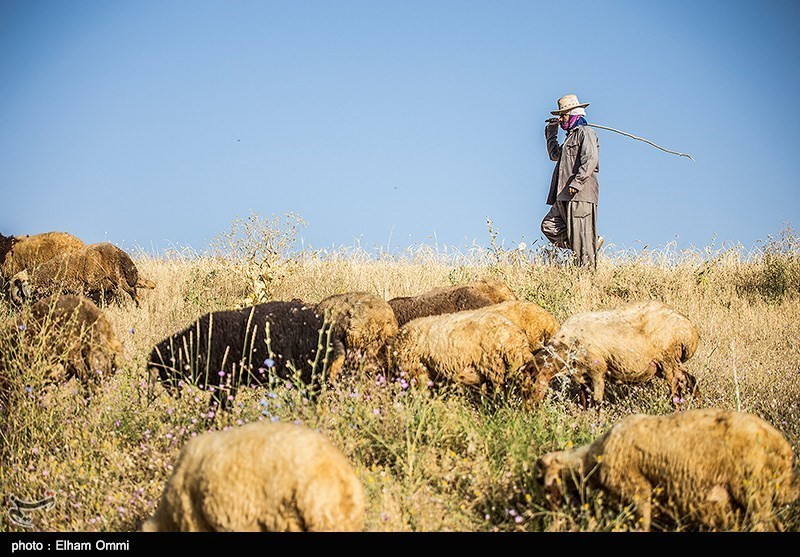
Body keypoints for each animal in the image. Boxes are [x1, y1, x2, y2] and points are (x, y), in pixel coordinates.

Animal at [14, 241, 156, 306]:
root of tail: (120, 252)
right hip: (124, 278)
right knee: (139, 287)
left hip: (119, 277)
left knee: (133, 292)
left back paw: (139, 307)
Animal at [520, 300, 696, 408]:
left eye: (529, 386)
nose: (526, 412)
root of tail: (688, 329)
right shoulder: (582, 376)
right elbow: (584, 402)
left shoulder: (598, 371)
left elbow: (597, 402)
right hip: (669, 363)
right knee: (690, 379)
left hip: (668, 361)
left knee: (675, 391)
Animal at [536, 408, 800, 528]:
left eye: (543, 483)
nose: (551, 520)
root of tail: (783, 449)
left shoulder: (637, 491)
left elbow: (642, 522)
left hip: (753, 489)